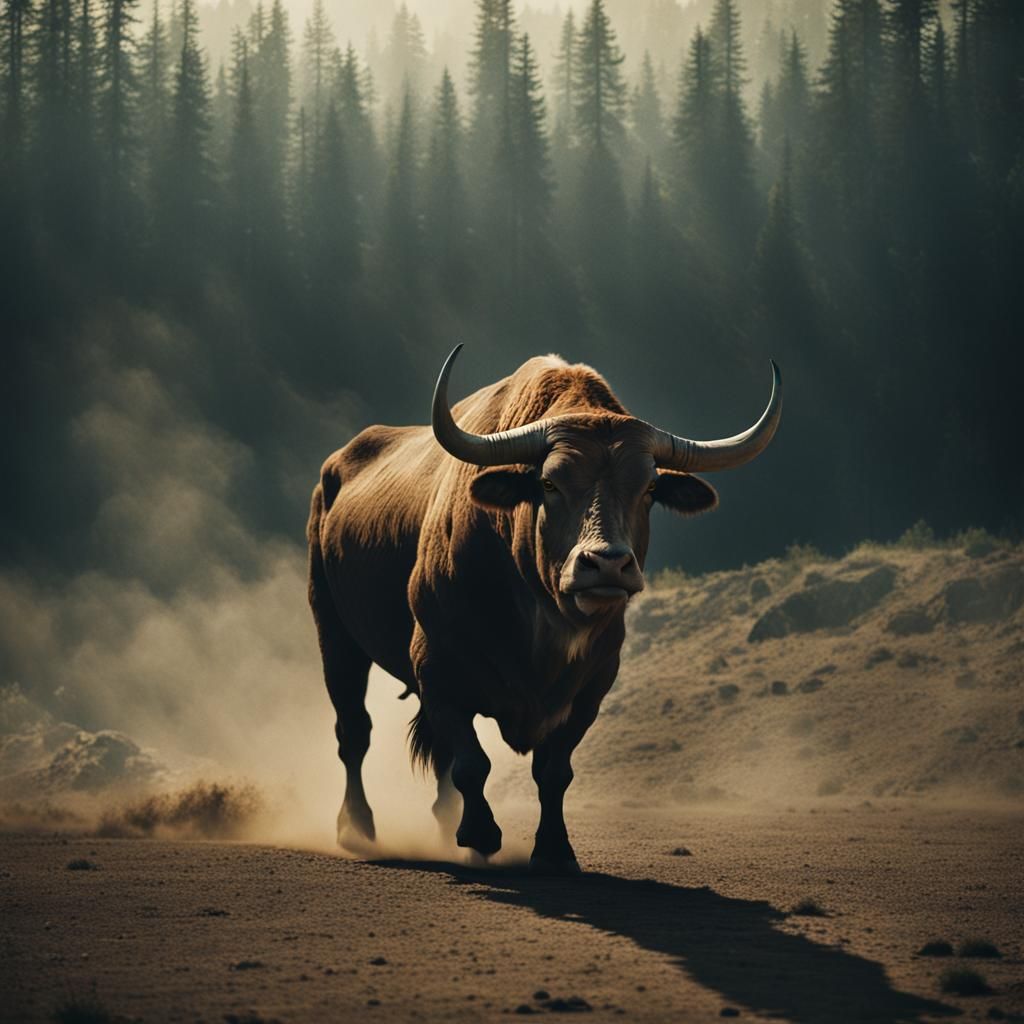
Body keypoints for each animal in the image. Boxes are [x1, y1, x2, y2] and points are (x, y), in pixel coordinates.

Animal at [307, 346, 781, 872]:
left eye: (649, 488)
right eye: (551, 484)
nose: (607, 564)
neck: (541, 619)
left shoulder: (591, 688)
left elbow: (553, 772)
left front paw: (554, 850)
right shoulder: (436, 666)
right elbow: (472, 763)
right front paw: (481, 833)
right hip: (335, 635)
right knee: (355, 732)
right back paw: (358, 828)